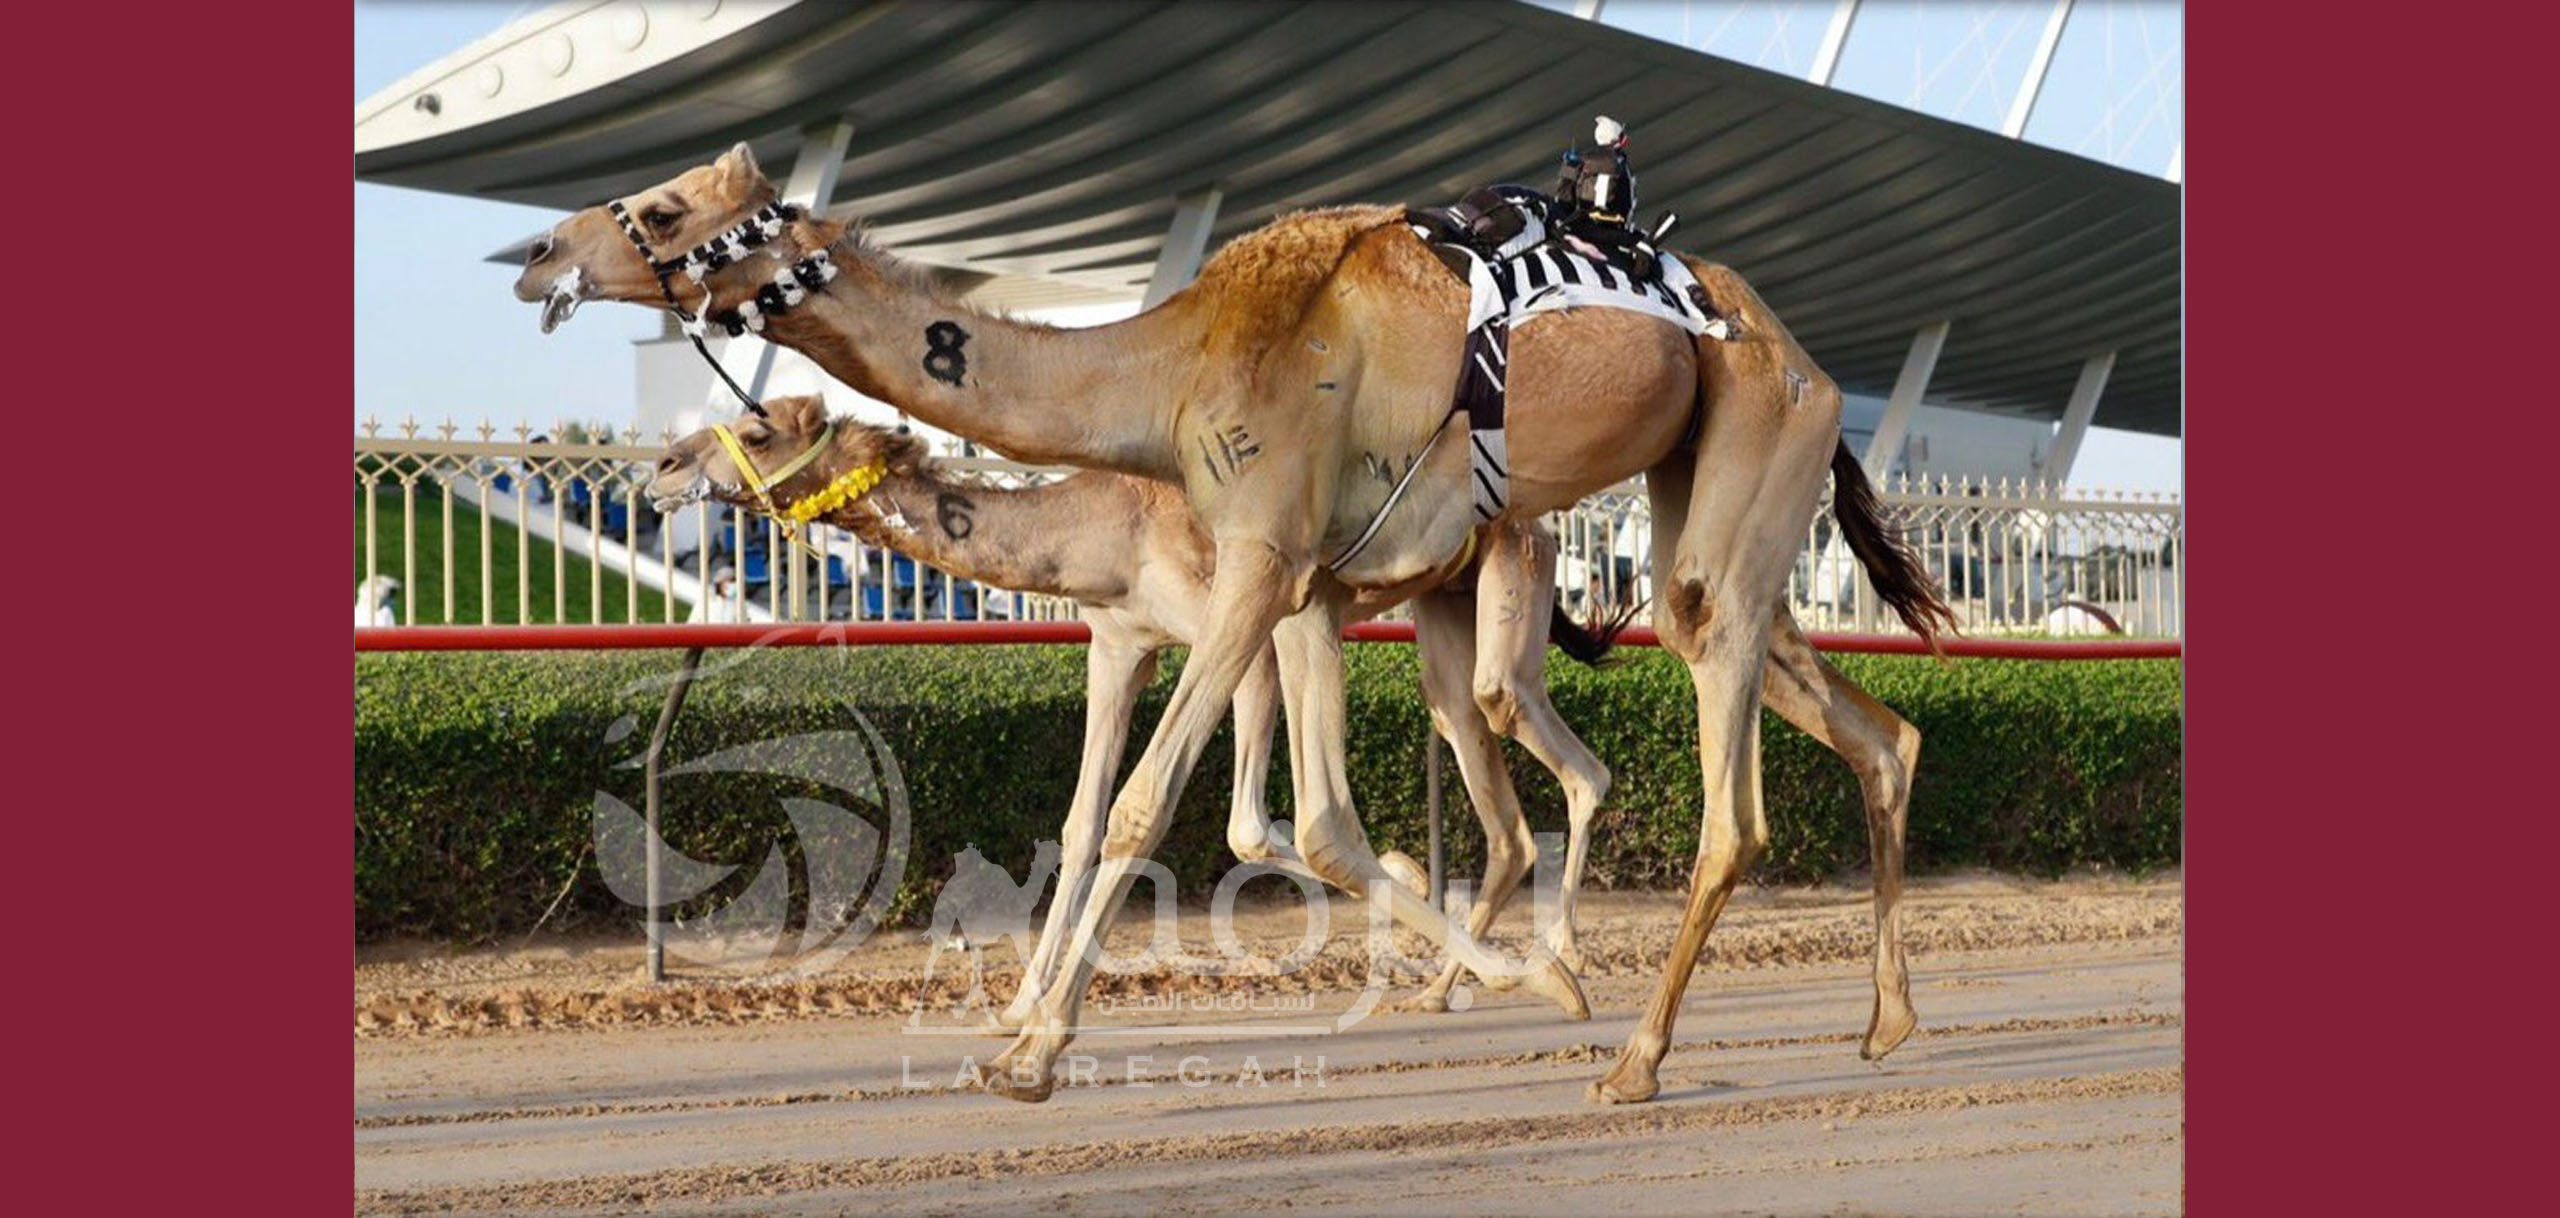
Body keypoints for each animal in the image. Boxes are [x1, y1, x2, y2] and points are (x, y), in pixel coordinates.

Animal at [529, 145, 1945, 1105]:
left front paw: (1036, 1053)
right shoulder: (1260, 601)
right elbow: (1244, 820)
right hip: (1691, 509)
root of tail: (1809, 364)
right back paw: (1879, 1022)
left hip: (1732, 453)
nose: (537, 255)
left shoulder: (1252, 574)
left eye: (663, 209)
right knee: (1868, 729)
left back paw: (1632, 1054)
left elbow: (1172, 811)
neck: (1153, 392)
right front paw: (1016, 1026)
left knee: (1714, 796)